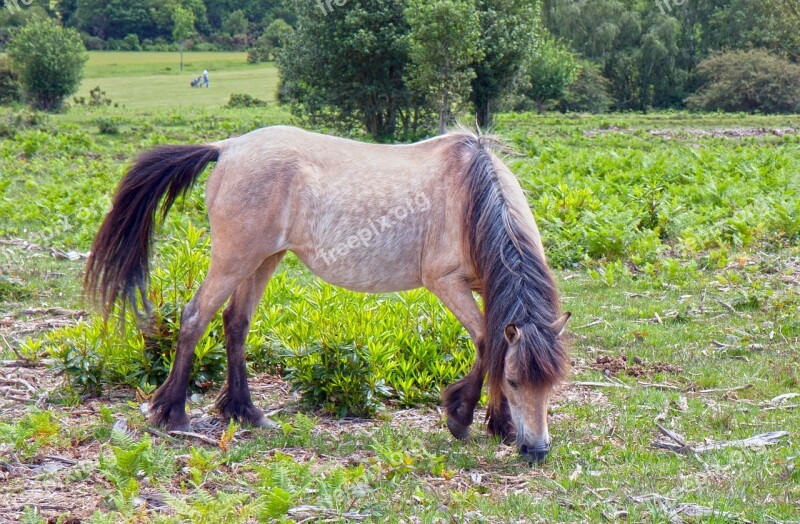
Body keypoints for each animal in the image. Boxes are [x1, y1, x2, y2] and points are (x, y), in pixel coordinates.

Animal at [86, 127, 568, 462]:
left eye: (552, 384)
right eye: (515, 381)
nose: (537, 451)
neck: (471, 198)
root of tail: (229, 146)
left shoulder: (487, 290)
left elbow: (494, 345)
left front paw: (499, 425)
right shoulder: (447, 283)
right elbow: (487, 344)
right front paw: (461, 417)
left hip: (265, 258)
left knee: (235, 324)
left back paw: (246, 412)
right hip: (234, 259)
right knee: (194, 317)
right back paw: (173, 413)